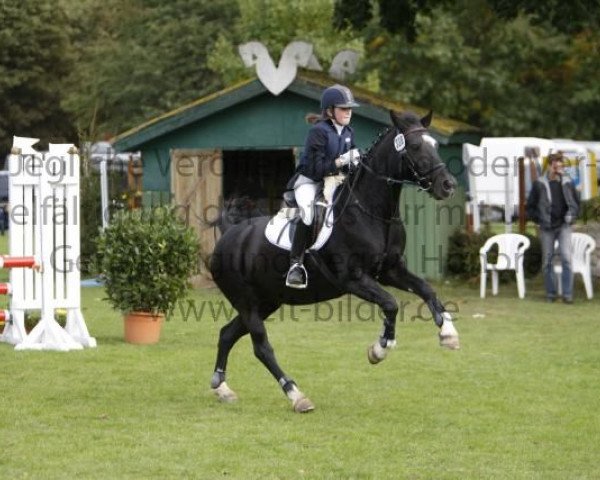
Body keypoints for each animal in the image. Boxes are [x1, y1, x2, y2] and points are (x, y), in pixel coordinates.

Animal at [210, 109, 460, 412]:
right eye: (414, 146)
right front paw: (379, 350)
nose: (448, 185)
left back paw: (222, 388)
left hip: (266, 301)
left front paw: (448, 333)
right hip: (247, 302)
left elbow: (426, 290)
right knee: (261, 347)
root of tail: (230, 233)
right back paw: (296, 395)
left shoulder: (390, 270)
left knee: (227, 333)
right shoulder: (353, 278)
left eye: (434, 145)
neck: (372, 211)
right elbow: (391, 304)